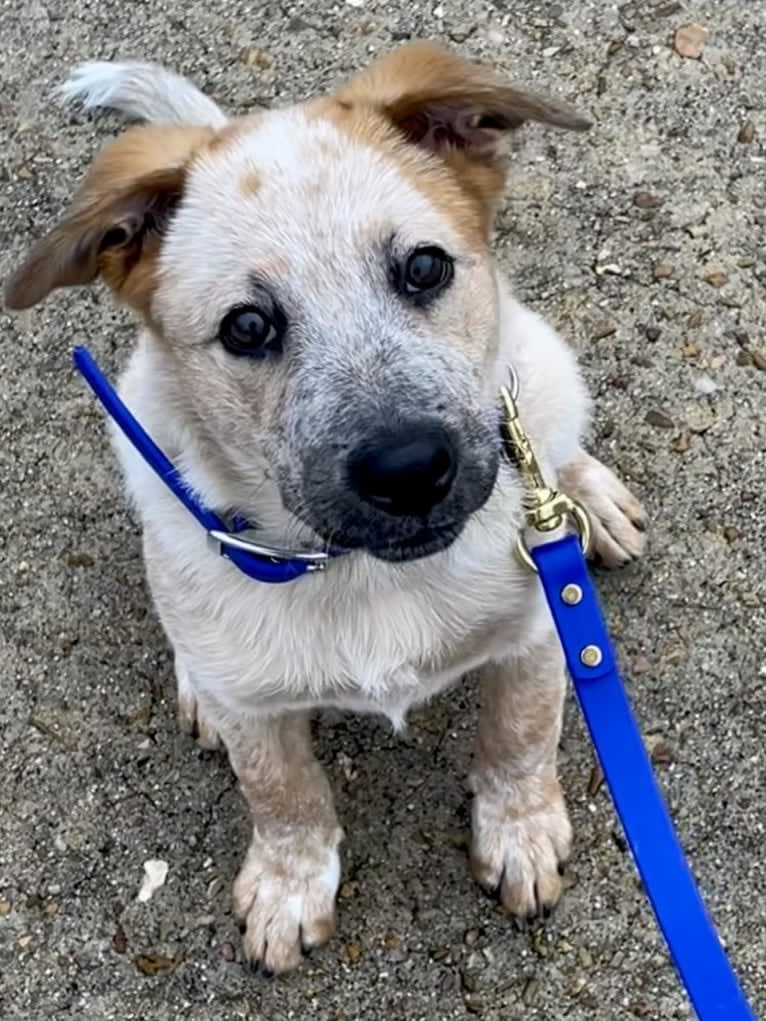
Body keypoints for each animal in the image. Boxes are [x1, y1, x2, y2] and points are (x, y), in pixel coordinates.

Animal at [4, 43, 649, 971]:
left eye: (424, 267)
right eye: (246, 326)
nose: (410, 468)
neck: (364, 574)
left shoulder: (540, 629)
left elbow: (519, 739)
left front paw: (521, 833)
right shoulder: (260, 719)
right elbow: (282, 792)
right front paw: (287, 886)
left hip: (546, 371)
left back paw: (587, 493)